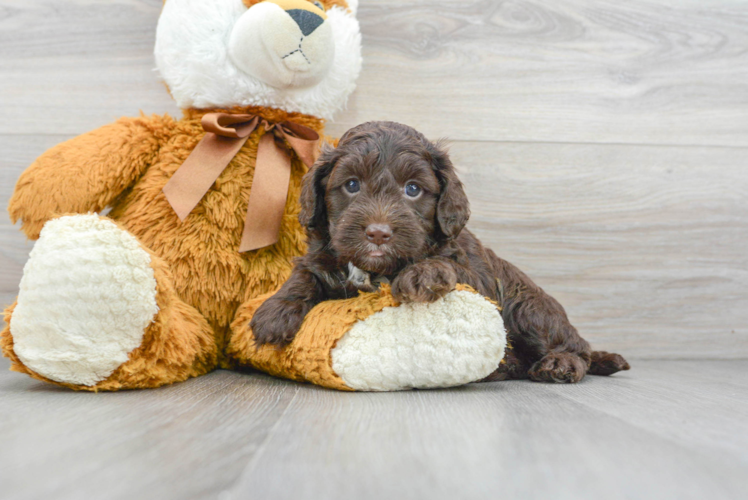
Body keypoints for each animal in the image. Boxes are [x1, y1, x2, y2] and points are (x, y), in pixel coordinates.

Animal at [248, 121, 628, 382]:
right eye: (351, 185)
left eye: (413, 189)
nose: (378, 233)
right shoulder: (325, 255)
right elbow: (305, 273)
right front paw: (274, 313)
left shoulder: (473, 271)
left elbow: (445, 263)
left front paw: (422, 274)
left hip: (529, 308)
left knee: (577, 346)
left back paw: (561, 363)